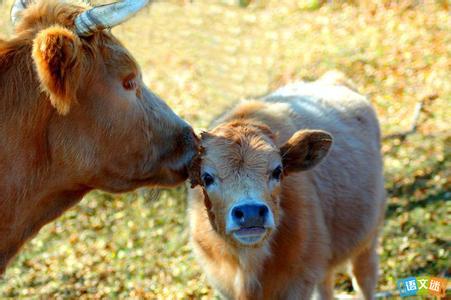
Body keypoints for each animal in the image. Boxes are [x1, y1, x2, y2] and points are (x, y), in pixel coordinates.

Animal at [189, 73, 386, 300]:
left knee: (364, 277)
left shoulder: (299, 281)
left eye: (278, 171)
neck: (248, 266)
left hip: (368, 237)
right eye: (207, 177)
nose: (250, 213)